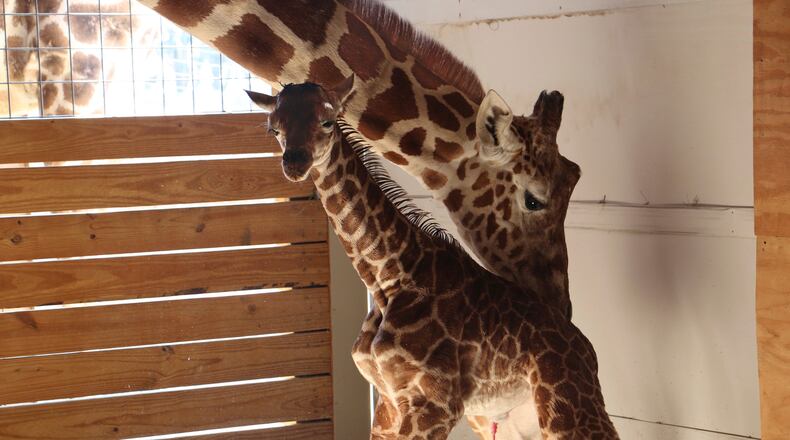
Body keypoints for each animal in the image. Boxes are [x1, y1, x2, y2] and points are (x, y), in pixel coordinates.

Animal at [245, 77, 618, 440]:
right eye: (273, 129)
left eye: (326, 121)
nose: (295, 163)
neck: (388, 277)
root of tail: (587, 349)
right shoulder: (388, 401)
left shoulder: (436, 403)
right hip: (503, 418)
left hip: (563, 403)